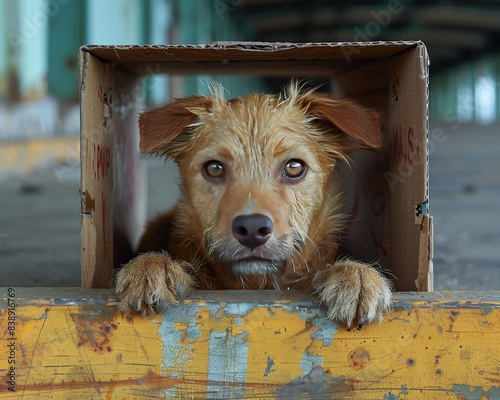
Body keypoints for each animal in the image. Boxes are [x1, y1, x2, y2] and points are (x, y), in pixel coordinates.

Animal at [115, 82, 392, 332]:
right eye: (214, 168)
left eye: (294, 167)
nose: (251, 228)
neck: (256, 284)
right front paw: (151, 267)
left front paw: (356, 276)